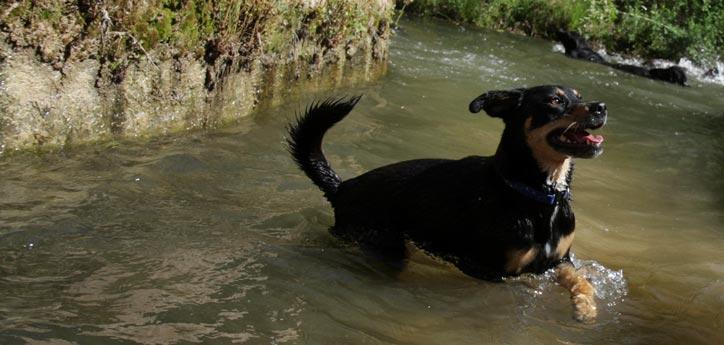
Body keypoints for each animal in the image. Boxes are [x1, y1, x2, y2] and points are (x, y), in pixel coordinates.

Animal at [288, 85, 604, 320]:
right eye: (555, 100)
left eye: (579, 96)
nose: (601, 107)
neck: (536, 195)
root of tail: (343, 187)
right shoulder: (487, 270)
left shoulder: (561, 260)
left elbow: (582, 282)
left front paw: (586, 309)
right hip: (382, 243)